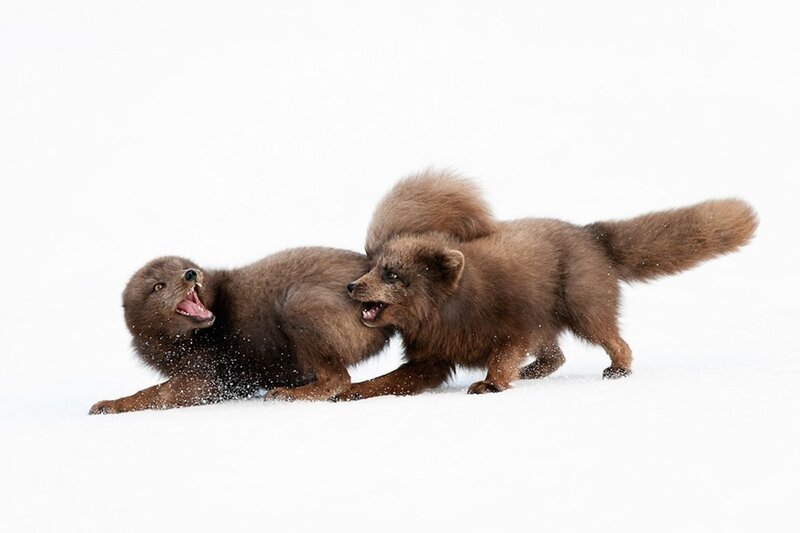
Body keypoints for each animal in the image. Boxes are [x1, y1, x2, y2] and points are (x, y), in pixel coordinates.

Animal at [340, 176, 758, 400]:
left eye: (392, 274)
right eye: (373, 265)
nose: (350, 286)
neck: (450, 311)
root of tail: (593, 235)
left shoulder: (515, 327)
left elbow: (502, 357)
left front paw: (490, 385)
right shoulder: (431, 358)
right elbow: (391, 380)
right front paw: (352, 391)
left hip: (584, 307)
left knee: (615, 341)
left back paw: (617, 369)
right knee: (556, 356)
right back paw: (531, 373)